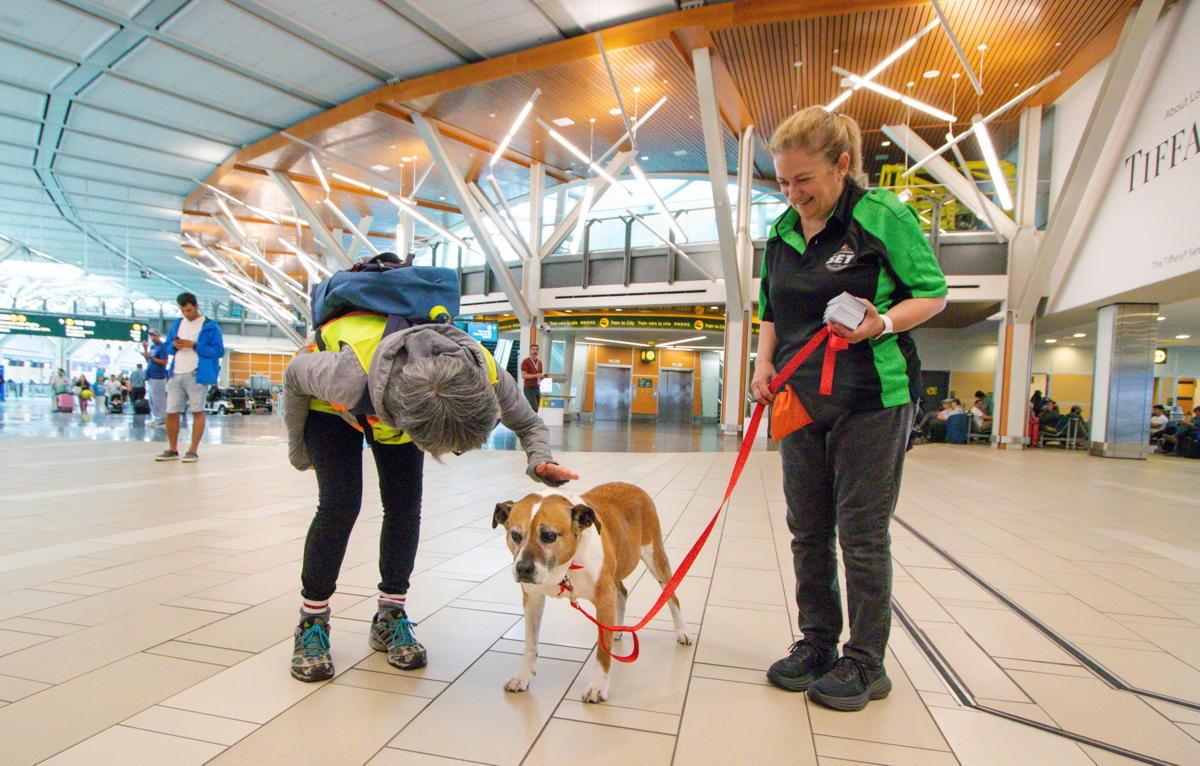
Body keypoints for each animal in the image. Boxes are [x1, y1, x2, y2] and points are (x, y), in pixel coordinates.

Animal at [489, 482, 696, 705]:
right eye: (515, 535)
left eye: (549, 536)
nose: (523, 569)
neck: (566, 566)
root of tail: (633, 487)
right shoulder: (533, 600)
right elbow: (530, 644)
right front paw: (523, 677)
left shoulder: (604, 598)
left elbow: (602, 654)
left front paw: (598, 686)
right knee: (622, 592)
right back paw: (616, 629)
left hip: (655, 558)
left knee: (672, 596)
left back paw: (682, 630)